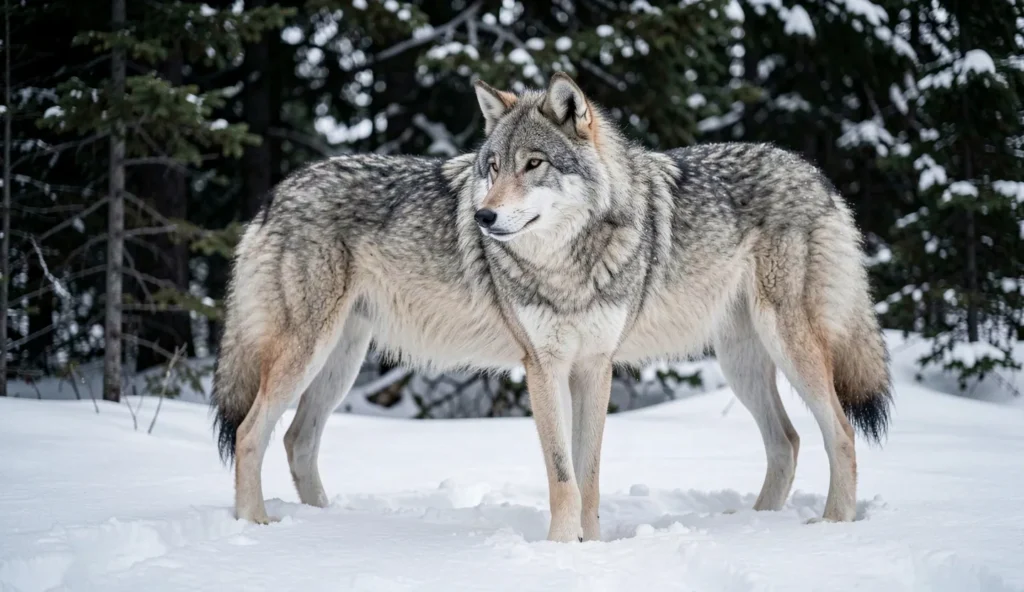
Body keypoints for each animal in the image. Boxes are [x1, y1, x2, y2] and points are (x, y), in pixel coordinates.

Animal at [212, 72, 891, 542]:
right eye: (491, 167)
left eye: (533, 164)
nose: (483, 217)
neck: (570, 265)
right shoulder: (544, 367)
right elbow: (565, 474)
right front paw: (567, 550)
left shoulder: (594, 366)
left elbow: (586, 475)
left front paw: (584, 550)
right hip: (322, 355)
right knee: (262, 433)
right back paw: (265, 529)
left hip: (770, 351)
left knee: (825, 434)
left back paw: (819, 528)